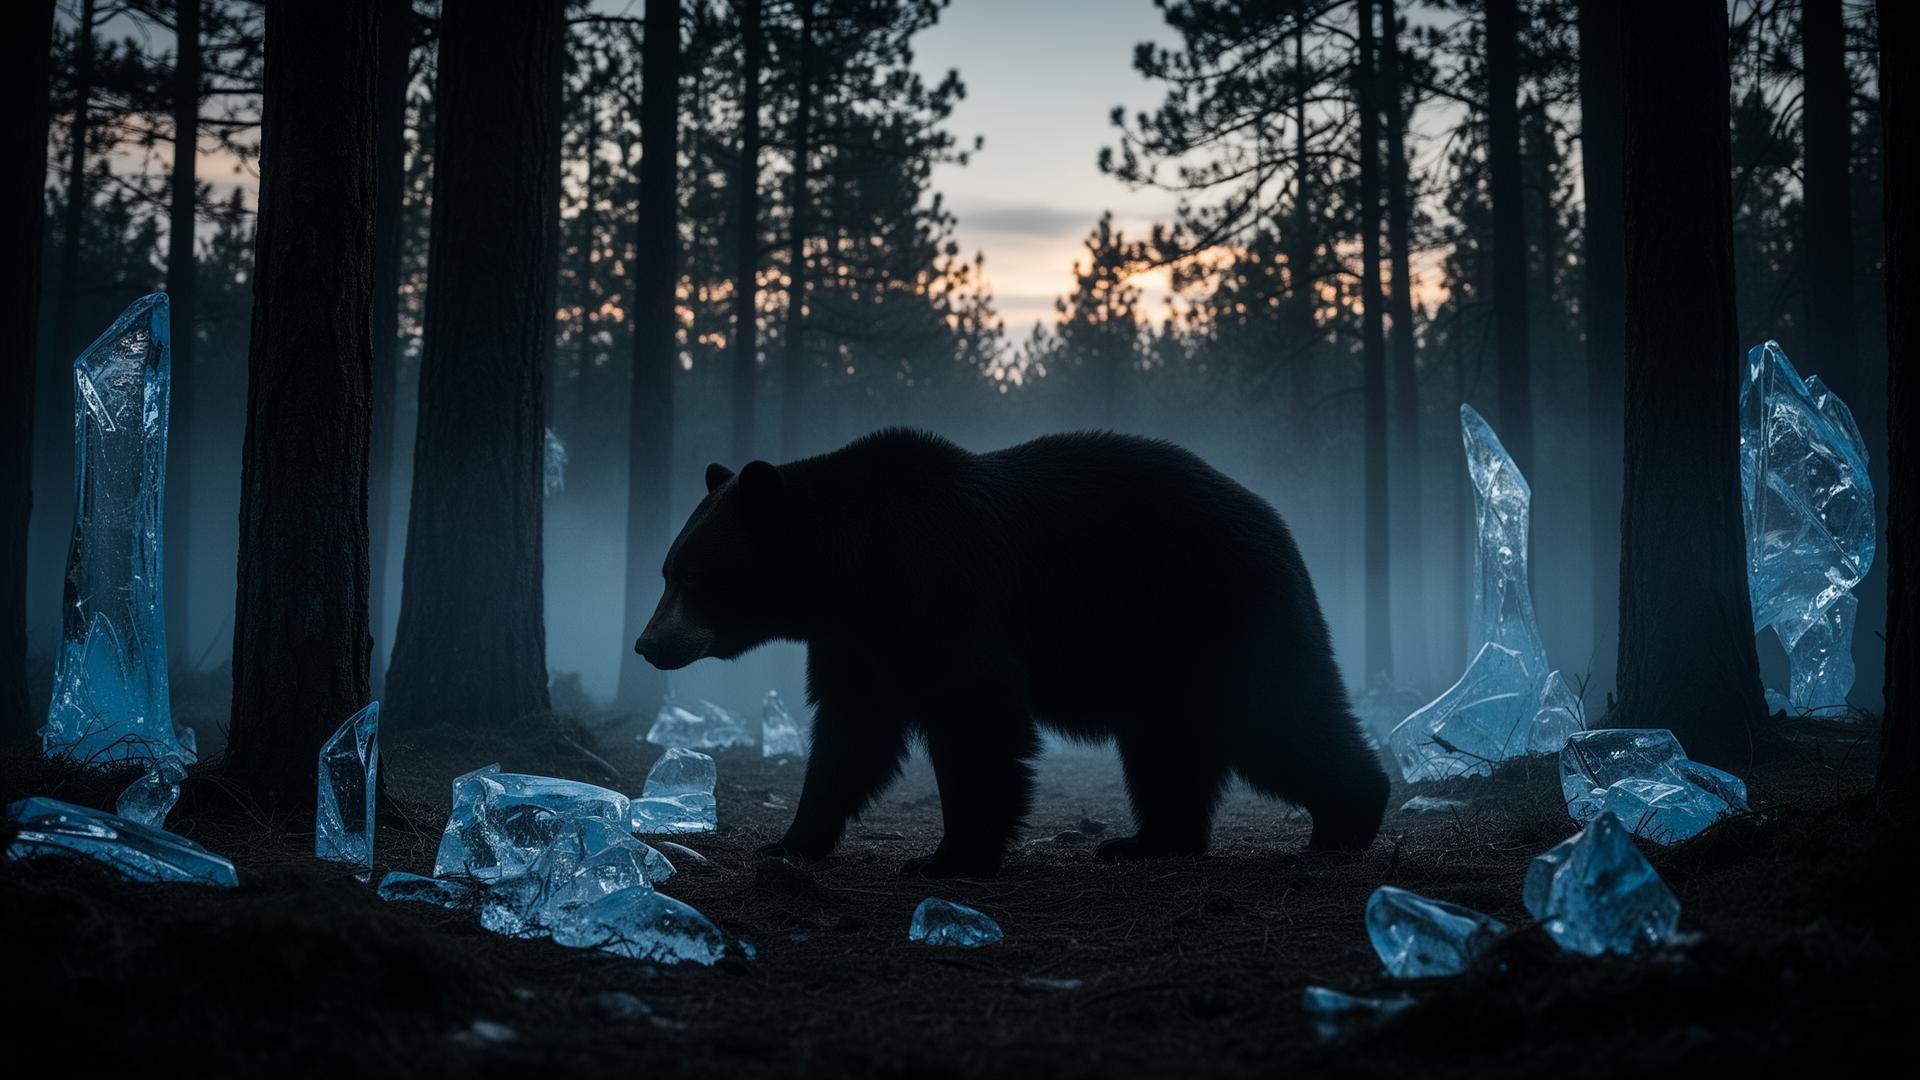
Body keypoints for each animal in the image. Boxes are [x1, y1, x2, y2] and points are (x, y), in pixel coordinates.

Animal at [634, 428, 1390, 876]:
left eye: (693, 575)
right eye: (667, 569)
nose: (647, 643)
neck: (855, 569)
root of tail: (1273, 520)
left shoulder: (945, 591)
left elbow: (976, 718)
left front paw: (952, 853)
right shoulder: (858, 640)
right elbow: (852, 736)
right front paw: (792, 839)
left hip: (1213, 606)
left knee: (1276, 716)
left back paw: (1348, 817)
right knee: (1167, 747)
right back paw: (1147, 841)